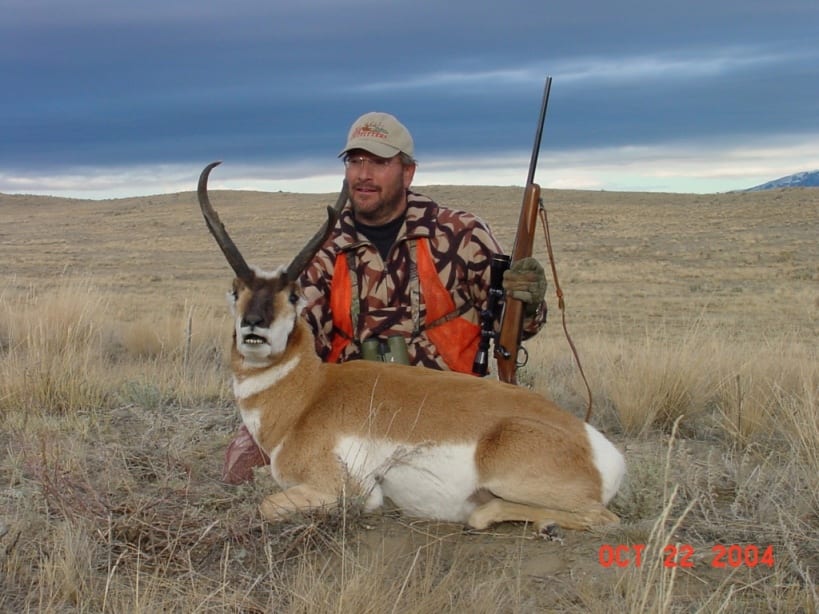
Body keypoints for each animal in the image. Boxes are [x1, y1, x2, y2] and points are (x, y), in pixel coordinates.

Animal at [198, 161, 625, 534]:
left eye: (293, 294)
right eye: (236, 291)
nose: (255, 325)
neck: (309, 396)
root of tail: (602, 451)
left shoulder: (343, 489)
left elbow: (265, 505)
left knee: (599, 517)